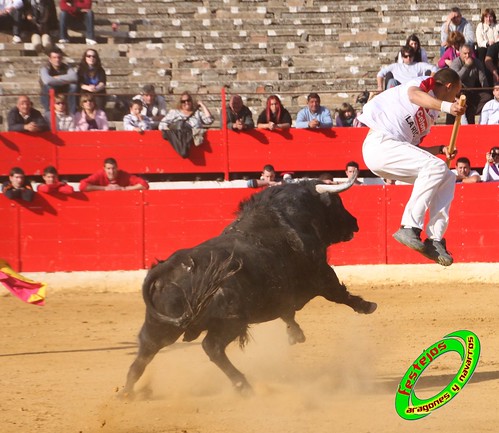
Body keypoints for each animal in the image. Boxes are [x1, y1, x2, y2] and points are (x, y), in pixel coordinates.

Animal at [123, 176, 376, 394]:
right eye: (337, 203)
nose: (355, 223)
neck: (288, 217)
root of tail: (168, 266)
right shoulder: (322, 274)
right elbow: (339, 293)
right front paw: (367, 306)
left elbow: (288, 314)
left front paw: (295, 334)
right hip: (230, 321)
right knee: (212, 347)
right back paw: (242, 385)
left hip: (159, 326)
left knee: (145, 351)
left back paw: (127, 392)